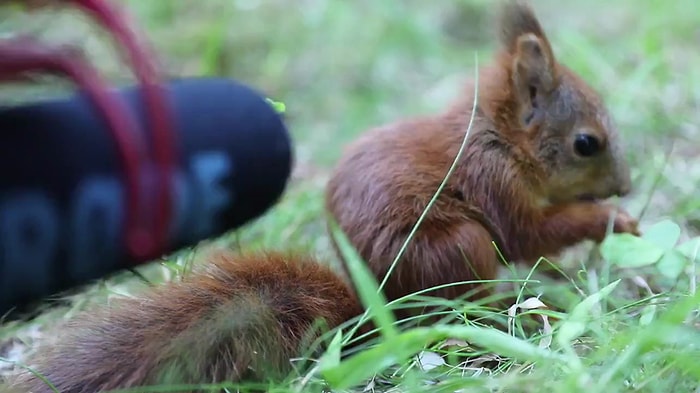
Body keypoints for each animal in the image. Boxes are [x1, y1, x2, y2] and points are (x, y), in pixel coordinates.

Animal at [322, 0, 640, 318]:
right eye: (586, 144)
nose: (624, 187)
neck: (504, 142)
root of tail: (375, 308)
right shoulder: (495, 179)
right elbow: (527, 235)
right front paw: (612, 218)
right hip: (459, 246)